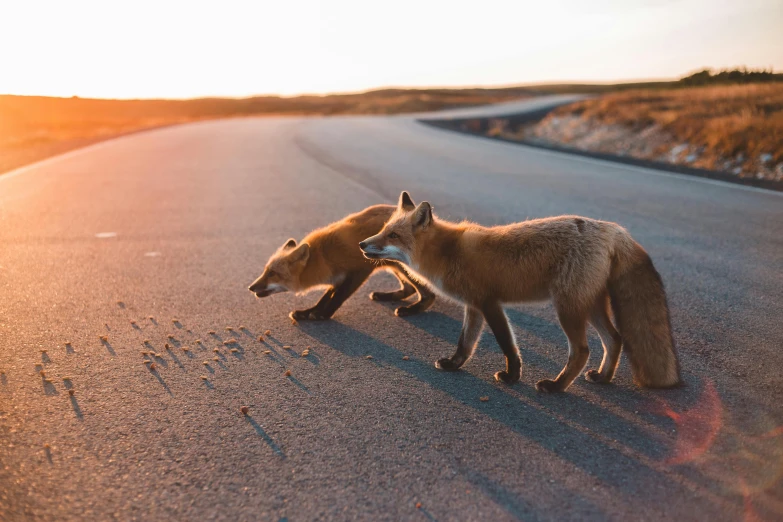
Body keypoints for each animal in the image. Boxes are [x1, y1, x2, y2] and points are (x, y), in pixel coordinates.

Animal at [250, 201, 434, 318]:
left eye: (273, 273)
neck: (323, 255)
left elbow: (338, 297)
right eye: (265, 271)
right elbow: (326, 297)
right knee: (409, 289)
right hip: (394, 266)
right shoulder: (337, 276)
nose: (250, 287)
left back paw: (411, 309)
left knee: (429, 295)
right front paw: (308, 312)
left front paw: (322, 315)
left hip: (403, 266)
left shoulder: (360, 270)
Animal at [360, 191, 680, 390]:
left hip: (568, 308)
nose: (362, 244)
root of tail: (612, 228)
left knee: (582, 350)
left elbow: (507, 345)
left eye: (393, 235)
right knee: (614, 339)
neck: (448, 252)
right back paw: (602, 378)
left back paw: (556, 387)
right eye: (384, 229)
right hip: (589, 304)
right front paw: (453, 364)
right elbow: (465, 343)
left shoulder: (489, 303)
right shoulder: (473, 305)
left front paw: (512, 376)